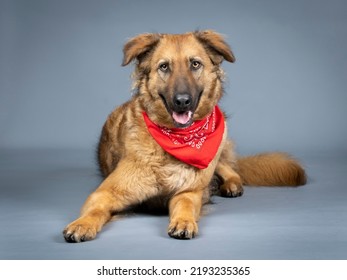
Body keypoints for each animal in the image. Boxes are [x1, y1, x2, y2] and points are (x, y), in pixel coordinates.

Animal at [63, 29, 308, 242]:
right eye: (164, 67)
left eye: (195, 64)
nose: (182, 101)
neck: (177, 140)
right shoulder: (105, 192)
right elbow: (95, 209)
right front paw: (82, 224)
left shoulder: (189, 191)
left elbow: (186, 205)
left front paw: (183, 222)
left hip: (217, 153)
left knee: (231, 171)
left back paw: (231, 186)